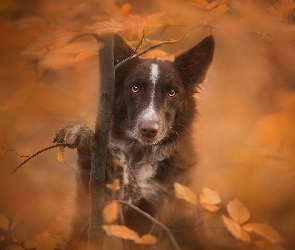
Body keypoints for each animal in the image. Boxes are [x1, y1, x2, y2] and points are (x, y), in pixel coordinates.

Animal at [53, 33, 215, 250]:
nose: (149, 130)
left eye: (172, 92)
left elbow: (124, 167)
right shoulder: (84, 222)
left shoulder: (147, 226)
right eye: (135, 88)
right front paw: (82, 135)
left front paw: (110, 150)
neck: (142, 155)